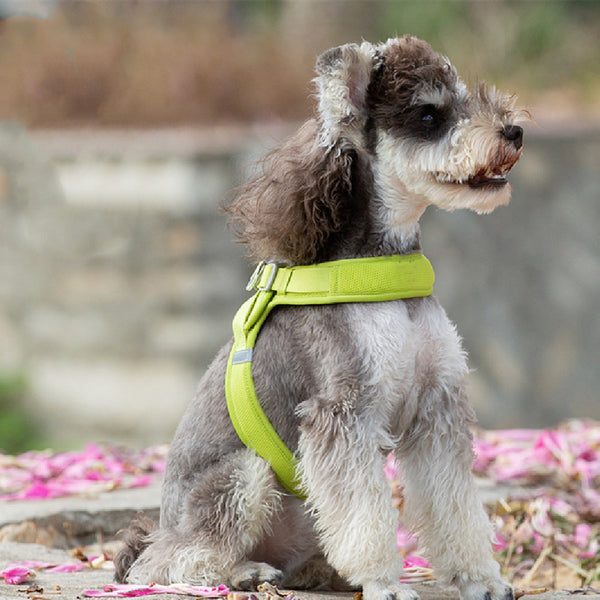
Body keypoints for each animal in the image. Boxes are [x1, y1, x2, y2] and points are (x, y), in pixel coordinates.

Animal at [113, 36, 524, 600]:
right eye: (428, 114)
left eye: (465, 95)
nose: (515, 131)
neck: (380, 270)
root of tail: (158, 522)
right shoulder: (343, 413)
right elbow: (367, 514)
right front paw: (384, 582)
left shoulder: (436, 409)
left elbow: (455, 504)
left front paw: (480, 579)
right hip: (243, 475)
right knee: (168, 560)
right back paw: (243, 571)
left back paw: (320, 571)